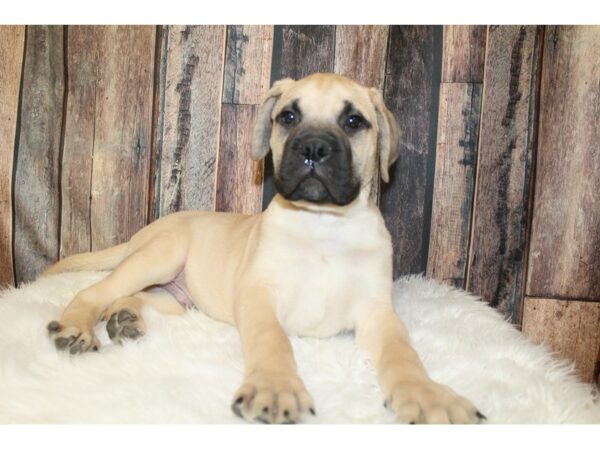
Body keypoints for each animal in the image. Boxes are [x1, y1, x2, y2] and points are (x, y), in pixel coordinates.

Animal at [44, 73, 482, 426]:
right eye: (288, 117)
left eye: (353, 121)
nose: (314, 148)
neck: (323, 226)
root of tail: (143, 234)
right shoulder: (258, 296)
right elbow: (272, 340)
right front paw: (275, 387)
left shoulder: (377, 311)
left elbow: (401, 352)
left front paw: (427, 395)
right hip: (160, 256)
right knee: (94, 291)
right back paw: (78, 328)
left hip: (177, 297)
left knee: (135, 296)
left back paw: (126, 318)